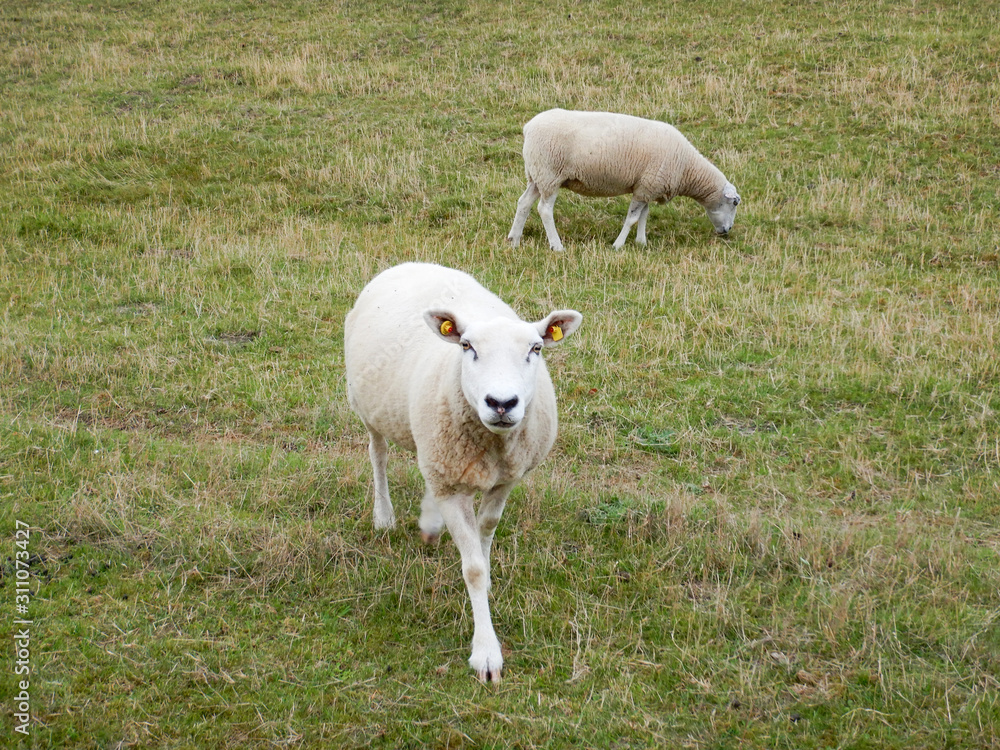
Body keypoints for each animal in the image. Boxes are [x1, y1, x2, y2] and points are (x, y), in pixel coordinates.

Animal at [343, 262, 583, 682]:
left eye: (536, 348)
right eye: (468, 347)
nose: (502, 402)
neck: (492, 444)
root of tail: (414, 262)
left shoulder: (504, 479)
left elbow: (485, 534)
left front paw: (486, 579)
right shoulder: (452, 487)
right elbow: (471, 569)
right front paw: (486, 653)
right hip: (370, 409)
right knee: (378, 455)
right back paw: (383, 516)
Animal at [507, 108, 741, 251]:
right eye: (735, 203)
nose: (727, 231)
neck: (687, 167)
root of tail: (528, 127)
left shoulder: (647, 186)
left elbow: (644, 216)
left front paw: (641, 242)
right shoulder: (646, 187)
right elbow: (632, 218)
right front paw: (618, 245)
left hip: (537, 175)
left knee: (523, 203)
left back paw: (514, 240)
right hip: (550, 174)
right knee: (545, 210)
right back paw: (557, 246)